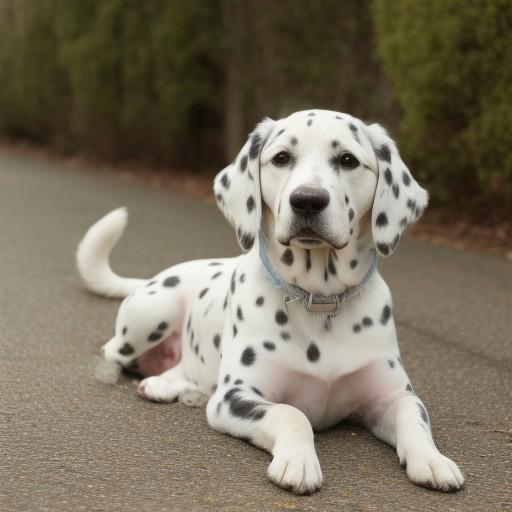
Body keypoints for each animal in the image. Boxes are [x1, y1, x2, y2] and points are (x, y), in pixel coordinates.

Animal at [77, 109, 464, 496]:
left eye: (347, 160)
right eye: (281, 158)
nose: (307, 199)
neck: (320, 302)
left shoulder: (393, 397)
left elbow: (415, 417)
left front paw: (432, 459)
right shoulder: (236, 397)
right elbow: (291, 413)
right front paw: (299, 461)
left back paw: (173, 387)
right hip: (153, 311)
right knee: (112, 351)